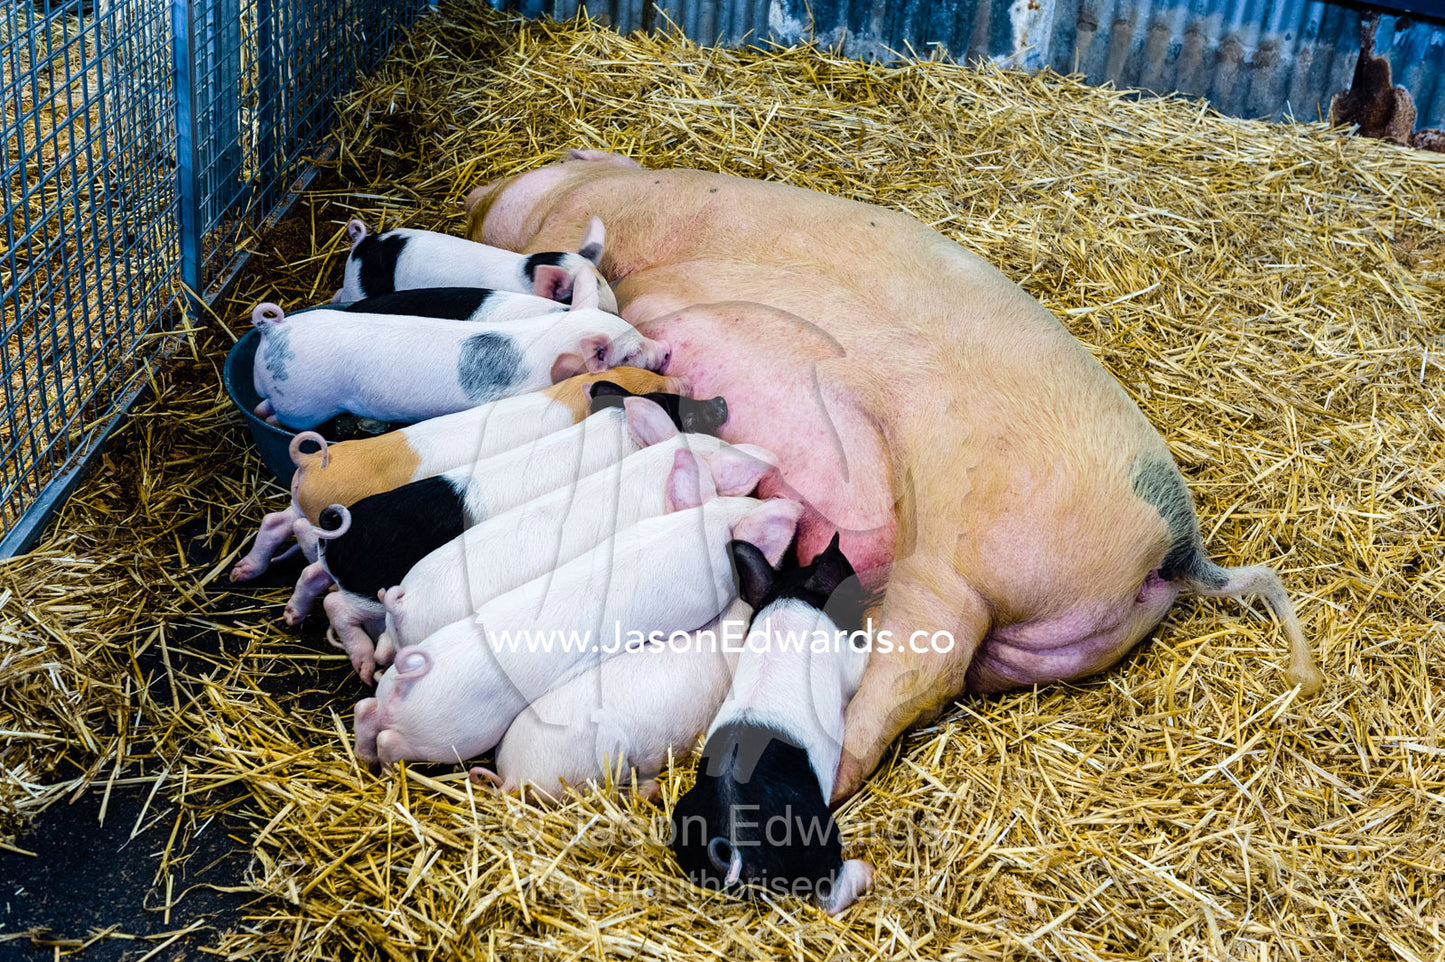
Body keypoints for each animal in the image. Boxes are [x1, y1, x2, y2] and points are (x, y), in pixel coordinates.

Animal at [229, 367, 687, 585]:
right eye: (648, 379)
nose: (682, 377)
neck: (572, 396)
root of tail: (313, 462)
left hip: (301, 506)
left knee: (275, 521)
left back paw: (243, 572)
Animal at [352, 495, 805, 768]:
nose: (792, 502)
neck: (702, 530)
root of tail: (403, 686)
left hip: (393, 680)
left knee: (365, 705)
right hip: (455, 732)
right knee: (393, 740)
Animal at [671, 533, 872, 916]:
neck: (788, 596)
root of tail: (736, 846)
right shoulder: (850, 663)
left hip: (685, 820)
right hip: (813, 829)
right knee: (829, 888)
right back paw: (865, 872)